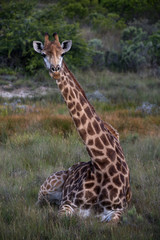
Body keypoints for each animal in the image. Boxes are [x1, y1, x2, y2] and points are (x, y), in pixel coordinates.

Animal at [32, 32, 131, 222]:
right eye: (43, 54)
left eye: (63, 53)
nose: (55, 70)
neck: (102, 165)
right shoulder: (68, 204)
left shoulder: (117, 209)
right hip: (47, 188)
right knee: (38, 203)